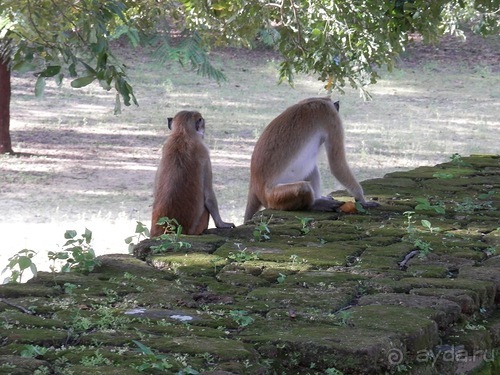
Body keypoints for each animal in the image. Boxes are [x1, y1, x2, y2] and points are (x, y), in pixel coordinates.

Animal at [243, 95, 378, 223]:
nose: (338, 105)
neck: (318, 100)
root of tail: (255, 185)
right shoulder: (332, 117)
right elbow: (337, 164)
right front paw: (362, 200)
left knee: (311, 168)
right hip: (274, 197)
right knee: (303, 187)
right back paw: (314, 204)